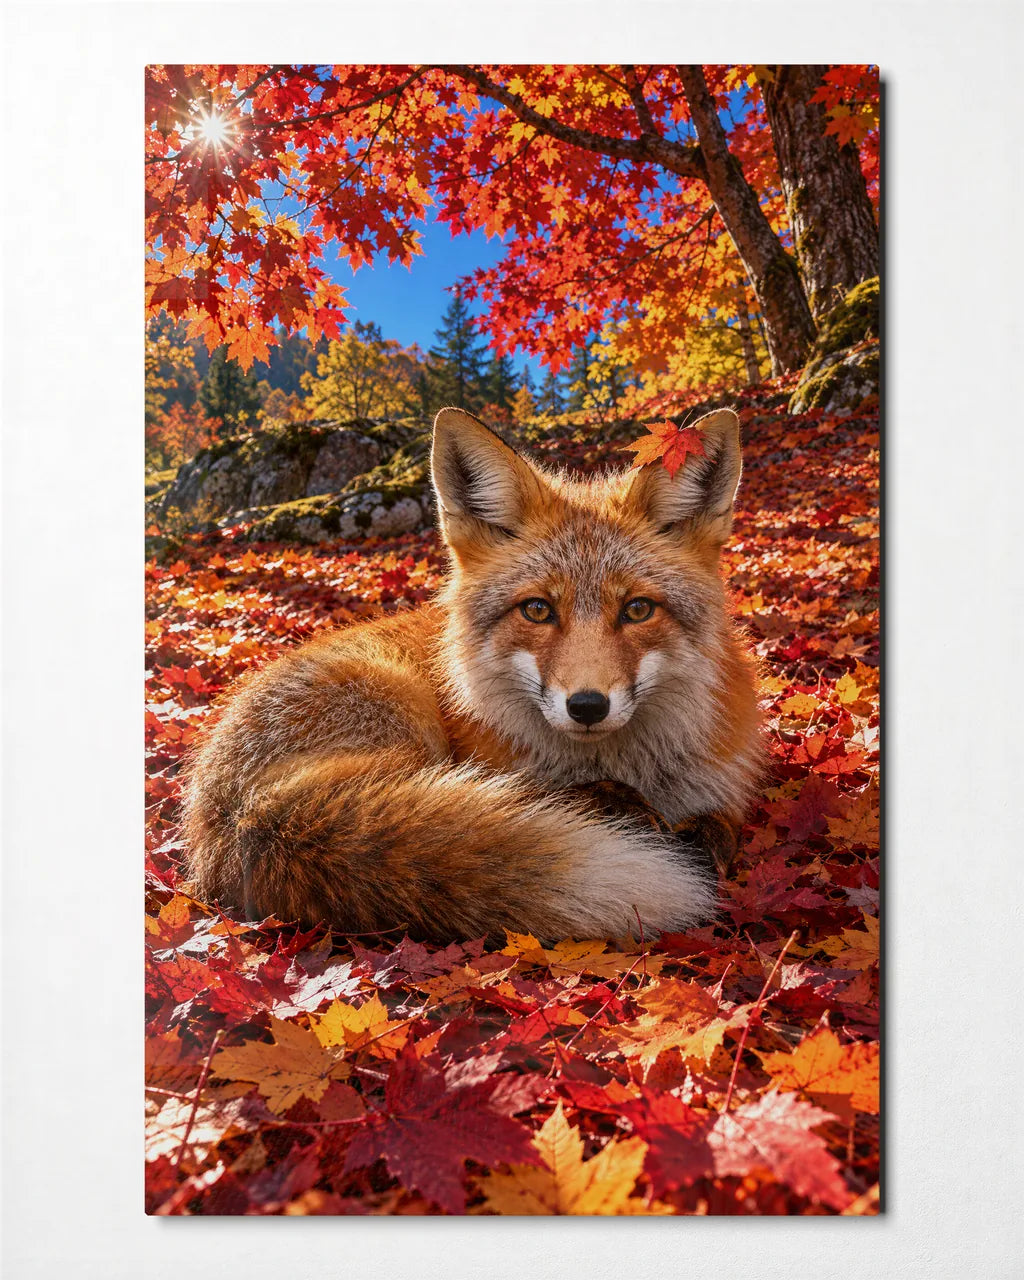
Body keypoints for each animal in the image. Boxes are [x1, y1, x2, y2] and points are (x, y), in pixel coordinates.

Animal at [181, 405, 762, 943]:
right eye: (537, 610)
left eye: (638, 610)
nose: (587, 706)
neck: (626, 766)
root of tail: (244, 815)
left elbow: (720, 828)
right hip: (403, 715)